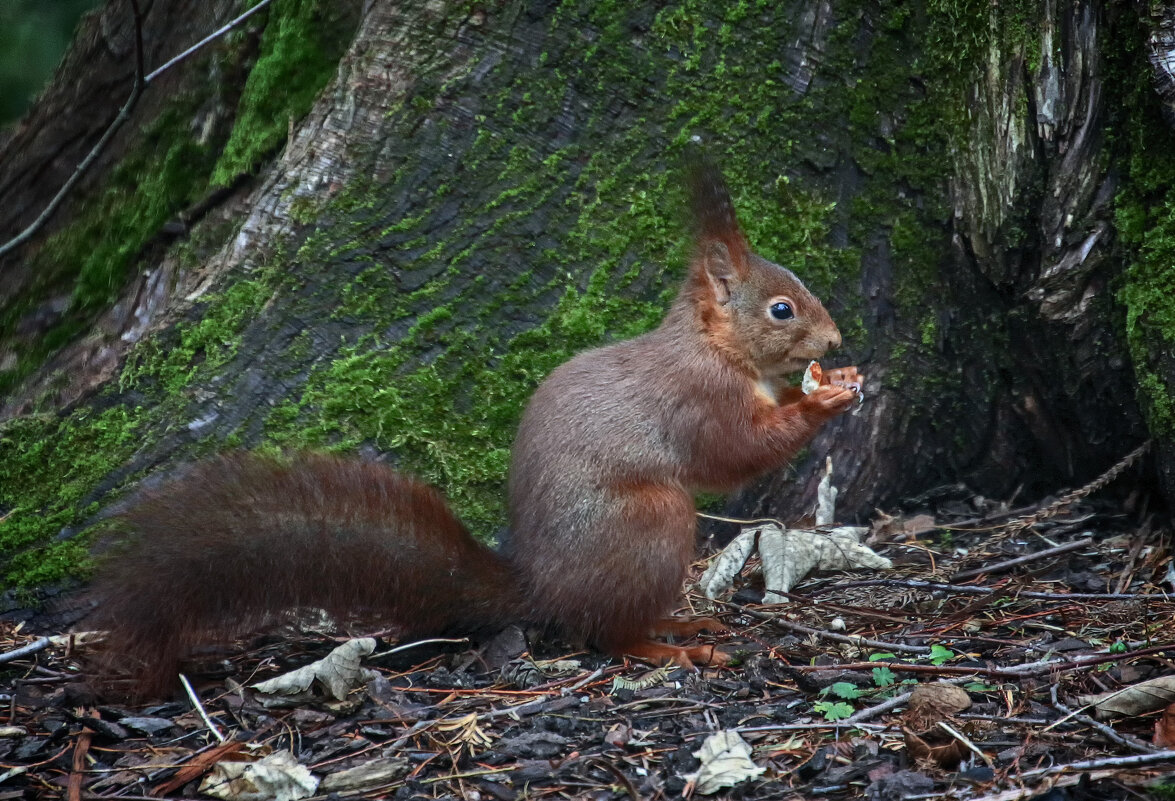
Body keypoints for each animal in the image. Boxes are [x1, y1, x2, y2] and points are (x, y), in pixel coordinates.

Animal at [91, 157, 864, 690]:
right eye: (781, 310)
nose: (833, 341)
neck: (714, 346)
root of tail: (542, 588)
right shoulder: (699, 398)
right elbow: (736, 452)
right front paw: (820, 403)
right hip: (647, 523)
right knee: (607, 634)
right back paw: (671, 643)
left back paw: (682, 618)